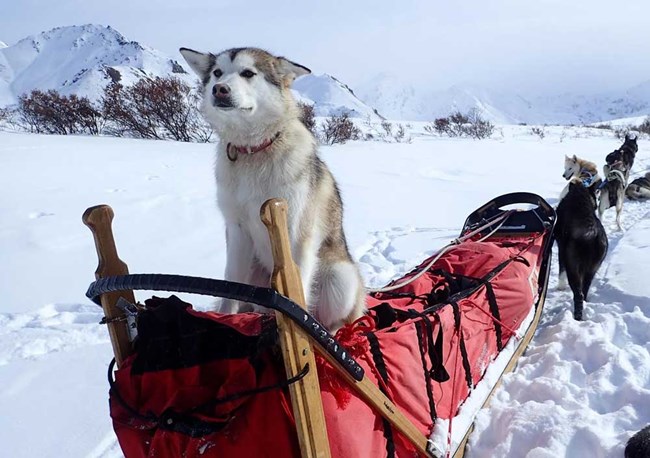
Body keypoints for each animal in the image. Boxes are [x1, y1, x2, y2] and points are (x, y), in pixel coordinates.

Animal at [178, 45, 364, 330]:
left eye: (248, 73)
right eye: (217, 73)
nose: (219, 89)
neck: (253, 151)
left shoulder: (296, 235)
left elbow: (297, 295)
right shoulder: (237, 231)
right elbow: (230, 286)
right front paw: (225, 318)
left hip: (339, 279)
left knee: (336, 320)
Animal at [556, 177, 604, 320]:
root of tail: (593, 235)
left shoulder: (561, 248)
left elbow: (561, 270)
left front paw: (560, 287)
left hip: (573, 267)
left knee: (579, 294)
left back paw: (577, 317)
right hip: (593, 268)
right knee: (585, 289)